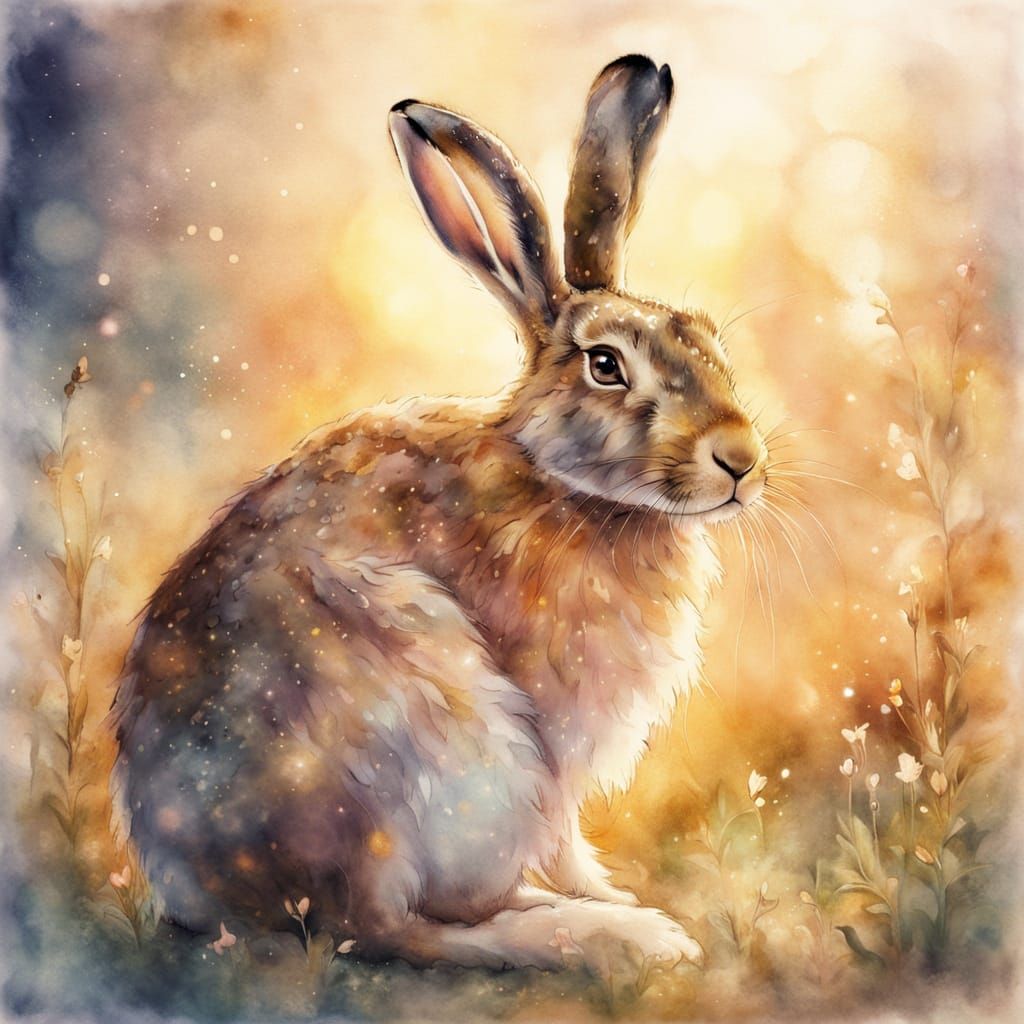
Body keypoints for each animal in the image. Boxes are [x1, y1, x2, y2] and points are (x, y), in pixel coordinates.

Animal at [110, 54, 768, 973]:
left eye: (709, 340)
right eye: (606, 365)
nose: (742, 458)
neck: (563, 483)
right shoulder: (555, 743)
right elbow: (563, 837)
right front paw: (618, 908)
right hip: (453, 738)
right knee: (404, 927)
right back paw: (615, 936)